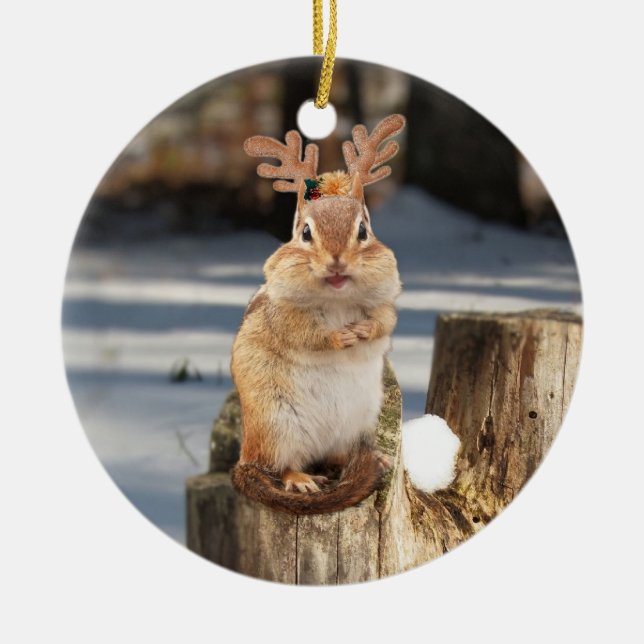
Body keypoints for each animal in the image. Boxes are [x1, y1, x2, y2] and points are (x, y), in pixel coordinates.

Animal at [230, 114, 406, 515]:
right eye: (305, 232)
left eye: (364, 229)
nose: (337, 261)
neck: (338, 300)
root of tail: (245, 456)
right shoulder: (284, 315)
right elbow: (305, 333)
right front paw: (340, 337)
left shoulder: (384, 303)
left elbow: (385, 322)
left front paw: (362, 331)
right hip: (277, 428)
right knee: (284, 465)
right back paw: (301, 480)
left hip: (356, 423)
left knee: (337, 457)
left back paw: (377, 459)